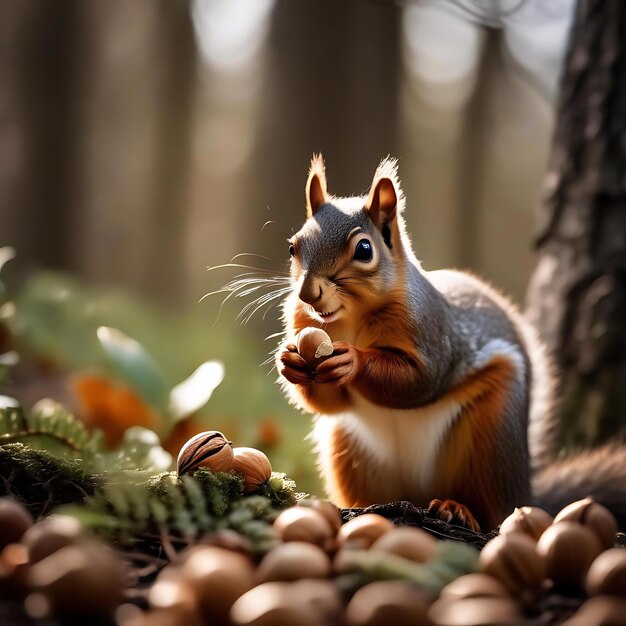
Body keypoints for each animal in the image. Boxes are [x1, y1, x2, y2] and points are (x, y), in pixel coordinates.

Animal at [276, 154, 624, 528]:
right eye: (293, 246)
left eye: (364, 249)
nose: (308, 293)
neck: (349, 317)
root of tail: (525, 490)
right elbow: (328, 403)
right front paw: (289, 361)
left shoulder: (432, 333)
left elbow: (417, 380)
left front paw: (352, 360)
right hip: (350, 449)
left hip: (491, 437)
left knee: (494, 510)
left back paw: (458, 508)